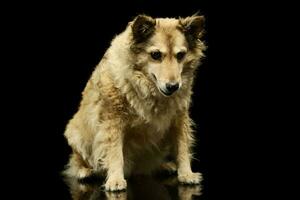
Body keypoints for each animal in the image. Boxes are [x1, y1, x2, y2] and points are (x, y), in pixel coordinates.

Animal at [63, 14, 206, 191]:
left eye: (180, 55)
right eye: (156, 55)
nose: (173, 86)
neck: (147, 87)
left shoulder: (179, 119)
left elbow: (182, 147)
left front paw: (186, 173)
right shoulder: (113, 121)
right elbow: (115, 152)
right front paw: (115, 179)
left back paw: (164, 166)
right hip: (75, 134)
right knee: (77, 160)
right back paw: (85, 171)